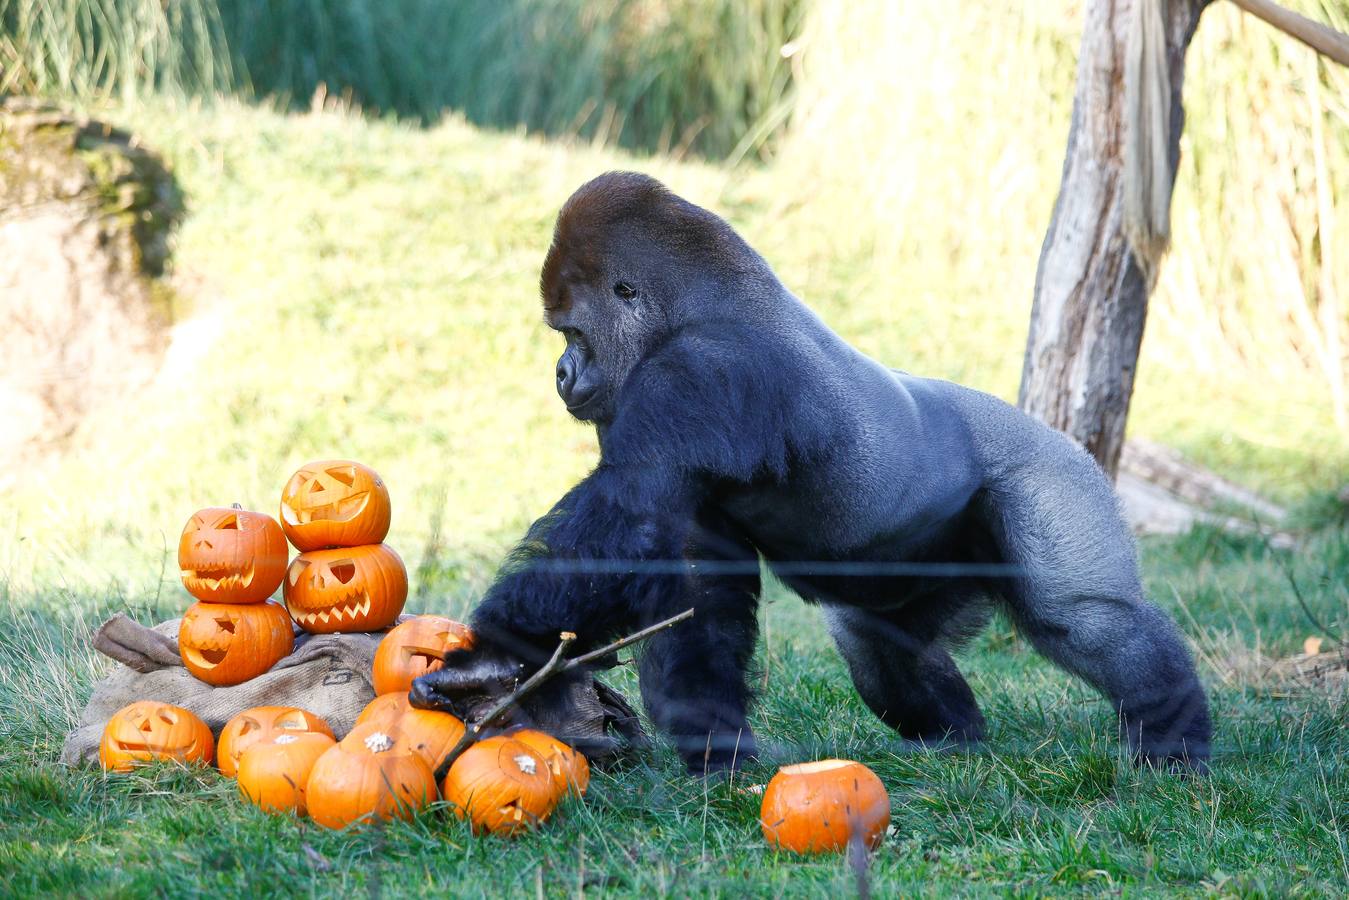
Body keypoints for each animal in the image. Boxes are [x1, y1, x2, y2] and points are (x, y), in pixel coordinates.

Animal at [411, 171, 1211, 776]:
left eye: (572, 330)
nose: (561, 372)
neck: (693, 305)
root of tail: (1071, 441)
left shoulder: (693, 373)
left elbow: (625, 520)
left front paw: (490, 659)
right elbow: (690, 576)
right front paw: (714, 744)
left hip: (1057, 477)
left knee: (1084, 620)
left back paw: (1173, 736)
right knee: (878, 645)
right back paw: (953, 740)